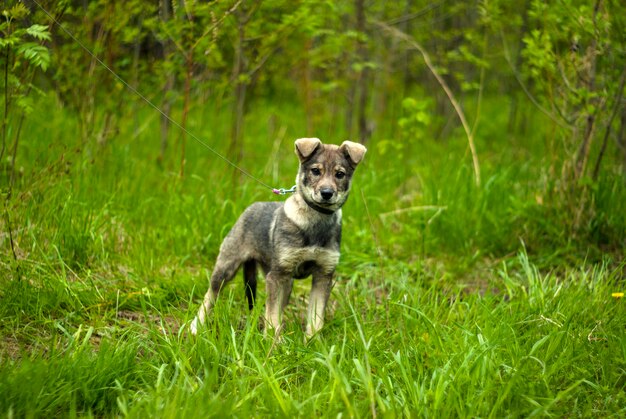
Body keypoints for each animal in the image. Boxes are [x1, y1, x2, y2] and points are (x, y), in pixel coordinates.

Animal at [190, 138, 366, 338]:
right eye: (315, 171)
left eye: (340, 174)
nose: (327, 193)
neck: (315, 221)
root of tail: (249, 208)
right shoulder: (277, 276)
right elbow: (273, 314)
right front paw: (273, 341)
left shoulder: (323, 275)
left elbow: (315, 317)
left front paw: (312, 341)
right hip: (227, 268)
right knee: (210, 295)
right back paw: (196, 326)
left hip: (284, 281)